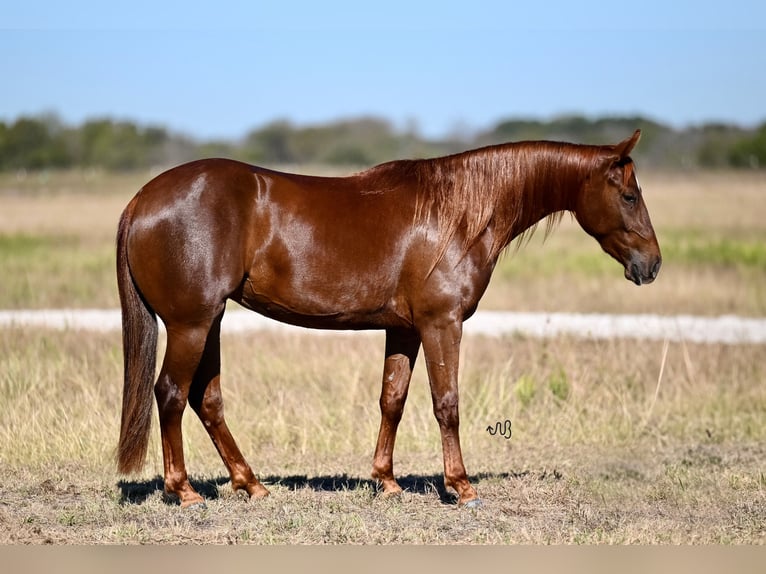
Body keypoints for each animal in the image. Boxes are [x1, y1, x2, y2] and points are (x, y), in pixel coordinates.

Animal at [117, 129, 664, 508]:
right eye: (629, 196)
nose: (652, 265)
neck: (457, 214)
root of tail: (142, 199)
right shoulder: (442, 323)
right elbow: (447, 403)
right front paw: (461, 486)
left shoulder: (403, 329)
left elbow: (392, 401)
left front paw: (386, 481)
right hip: (190, 324)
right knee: (171, 393)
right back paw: (184, 491)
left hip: (209, 322)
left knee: (206, 400)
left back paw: (251, 484)